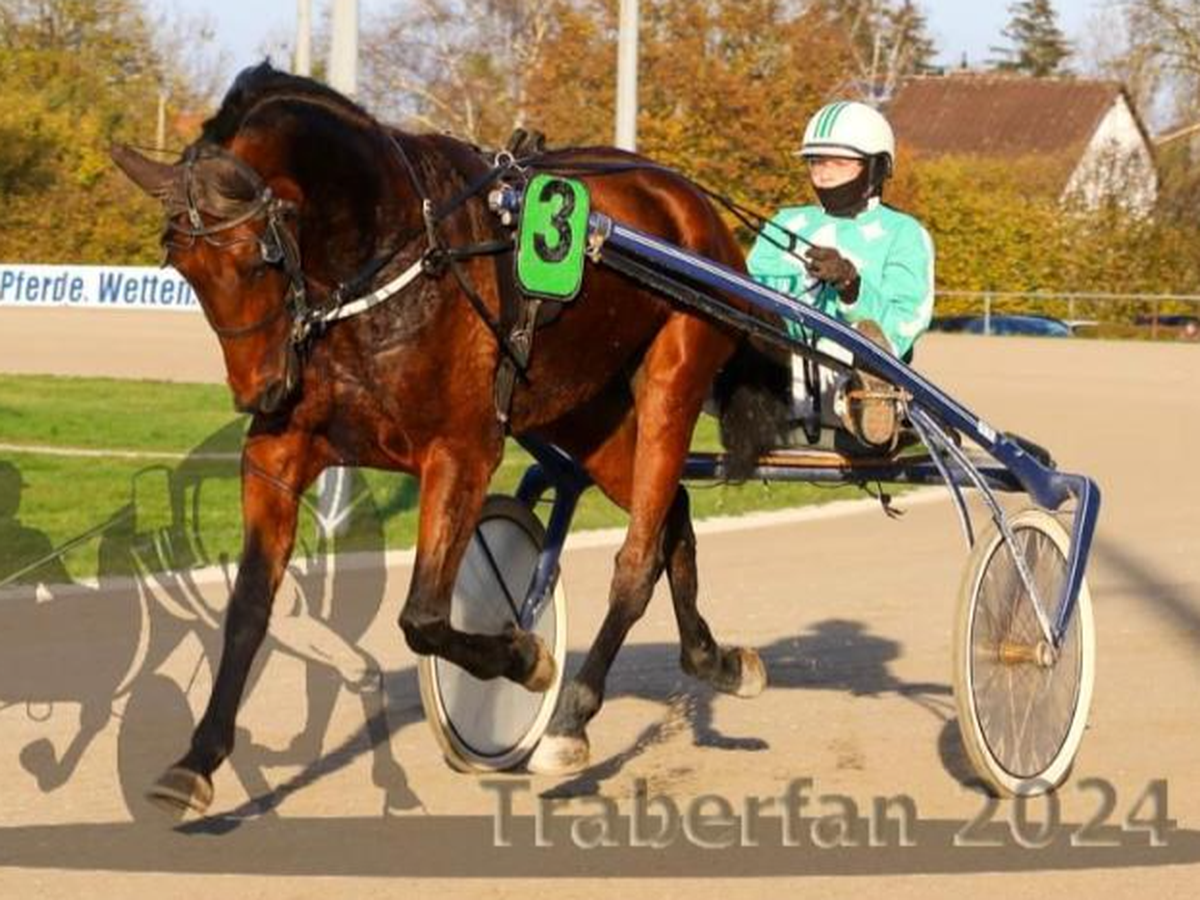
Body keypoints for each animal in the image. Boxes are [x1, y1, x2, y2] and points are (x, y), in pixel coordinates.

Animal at [110, 62, 790, 816]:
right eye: (182, 266)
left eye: (259, 259)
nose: (260, 393)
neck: (393, 257)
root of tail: (689, 200)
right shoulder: (279, 451)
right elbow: (251, 606)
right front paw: (196, 760)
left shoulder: (461, 451)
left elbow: (423, 617)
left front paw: (528, 658)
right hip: (587, 414)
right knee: (672, 516)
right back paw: (715, 660)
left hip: (677, 371)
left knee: (637, 559)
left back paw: (572, 718)